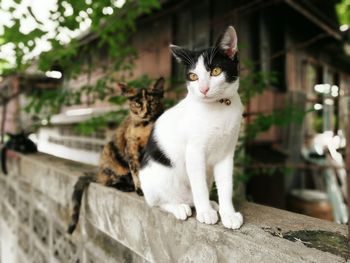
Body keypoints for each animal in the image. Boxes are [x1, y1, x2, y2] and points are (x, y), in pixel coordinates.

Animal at [67, 77, 165, 234]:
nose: (145, 112)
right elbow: (136, 170)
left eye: (152, 102)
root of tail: (100, 172)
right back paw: (125, 186)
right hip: (109, 151)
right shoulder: (131, 148)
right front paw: (141, 189)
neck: (146, 126)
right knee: (110, 181)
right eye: (138, 103)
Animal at [139, 25, 243, 230]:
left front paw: (228, 214)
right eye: (193, 77)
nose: (203, 89)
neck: (220, 107)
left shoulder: (227, 153)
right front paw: (205, 213)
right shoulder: (194, 151)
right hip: (155, 178)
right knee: (157, 202)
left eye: (216, 71)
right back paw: (180, 207)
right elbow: (199, 186)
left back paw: (210, 204)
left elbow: (226, 185)